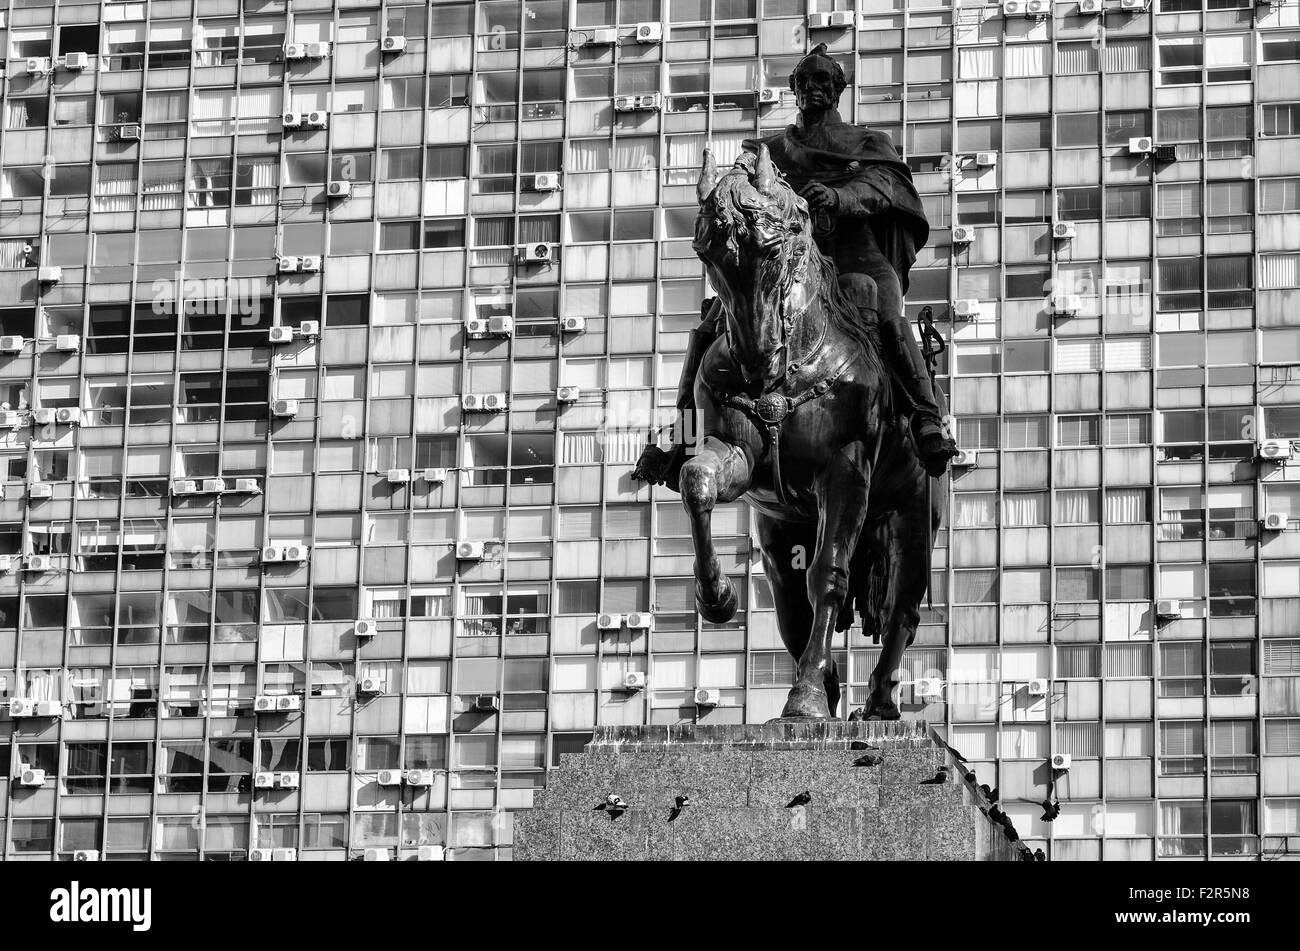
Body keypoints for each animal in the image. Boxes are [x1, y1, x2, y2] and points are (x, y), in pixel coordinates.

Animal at [681, 142, 946, 722]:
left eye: (773, 248)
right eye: (707, 254)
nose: (757, 361)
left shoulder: (845, 470)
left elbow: (828, 574)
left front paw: (803, 699)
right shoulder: (735, 452)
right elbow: (696, 482)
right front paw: (717, 597)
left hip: (913, 521)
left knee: (903, 611)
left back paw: (877, 703)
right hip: (781, 534)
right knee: (791, 610)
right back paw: (829, 685)